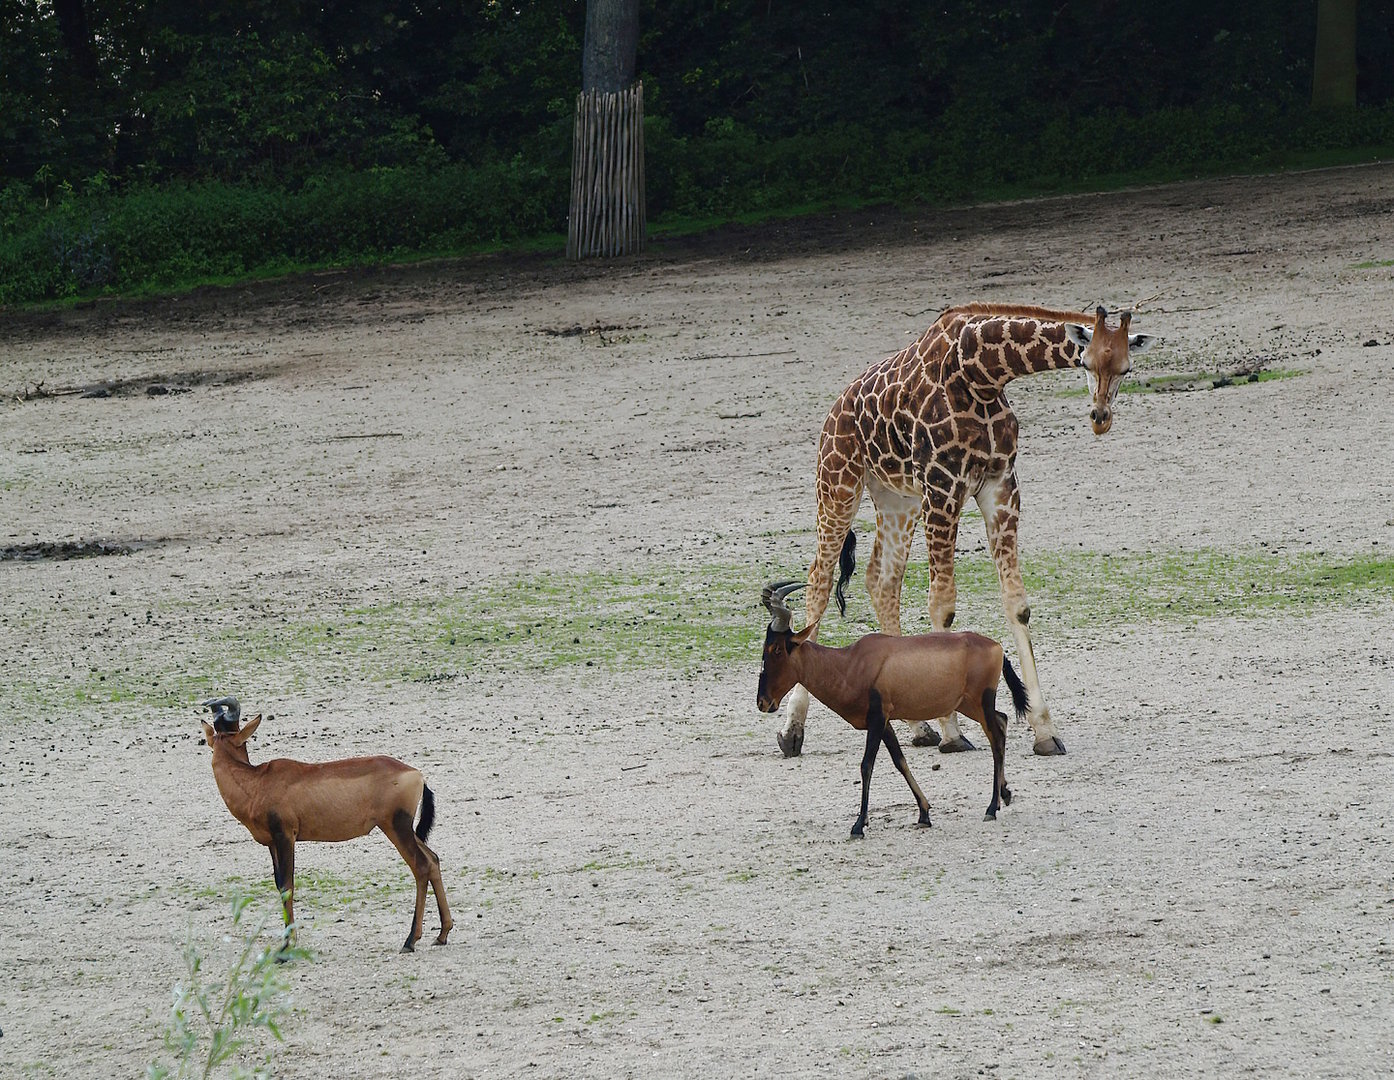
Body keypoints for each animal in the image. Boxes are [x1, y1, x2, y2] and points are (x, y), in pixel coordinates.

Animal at [776, 303, 1154, 759]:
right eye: (1085, 361)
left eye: (1125, 368)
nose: (1100, 417)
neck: (983, 374)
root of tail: (833, 410)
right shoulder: (943, 485)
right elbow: (942, 604)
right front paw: (954, 732)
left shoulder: (1000, 486)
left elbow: (1017, 604)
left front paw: (1045, 731)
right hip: (838, 484)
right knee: (819, 578)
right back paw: (792, 731)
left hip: (896, 498)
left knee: (882, 580)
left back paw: (918, 727)